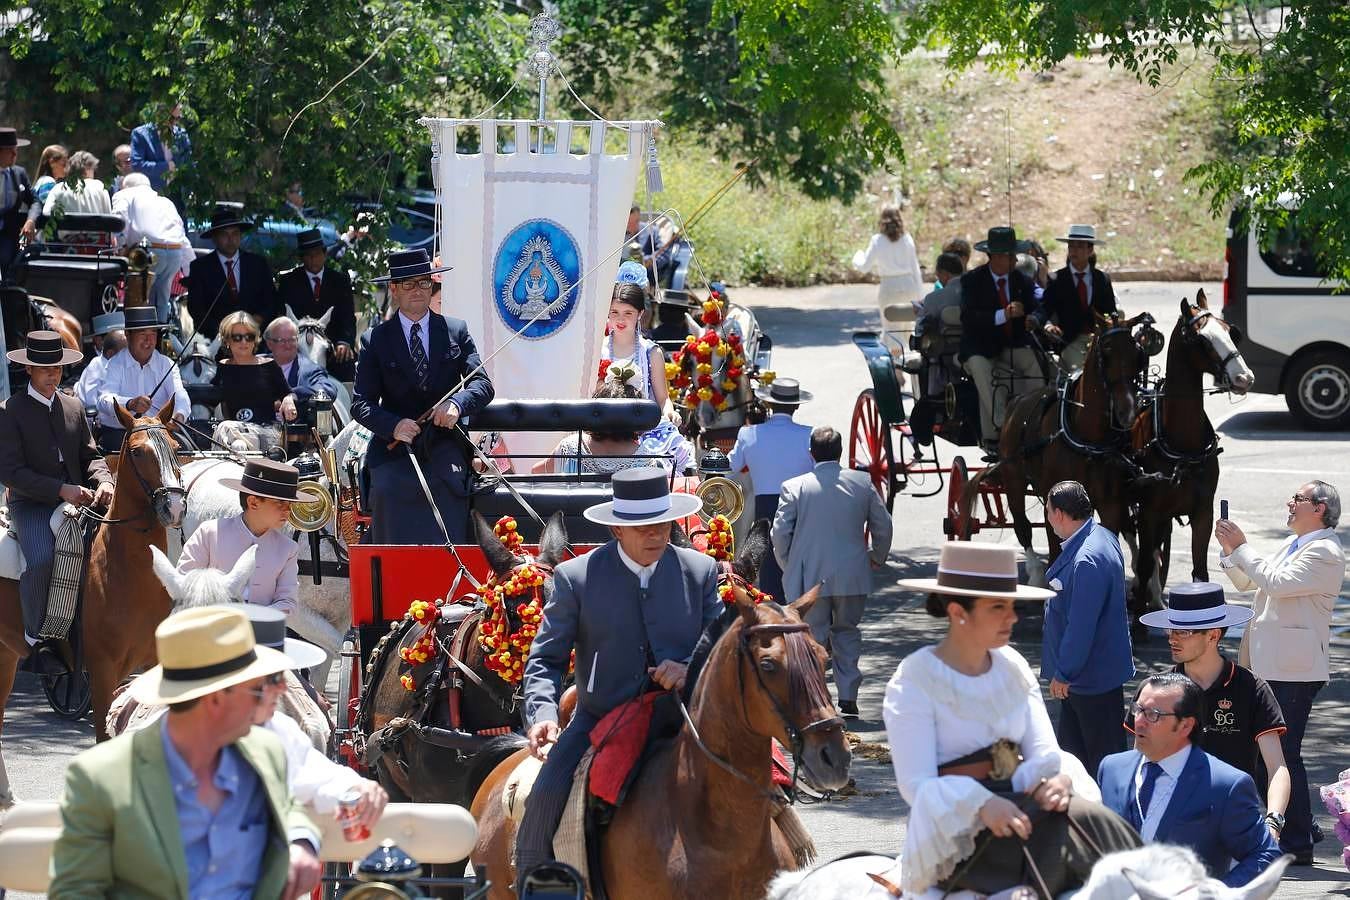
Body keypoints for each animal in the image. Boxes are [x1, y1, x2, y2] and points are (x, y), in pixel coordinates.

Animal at [0, 402, 186, 744]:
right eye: (138, 452)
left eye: (176, 448)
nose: (175, 507)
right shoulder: (102, 672)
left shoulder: (153, 665)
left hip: (5, 654)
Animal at [961, 317, 1150, 580]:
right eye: (1107, 350)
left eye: (1137, 352)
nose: (1129, 411)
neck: (1087, 439)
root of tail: (1016, 401)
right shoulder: (1054, 501)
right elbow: (1053, 552)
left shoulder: (1110, 503)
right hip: (1014, 478)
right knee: (1022, 525)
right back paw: (1034, 571)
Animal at [1123, 292, 1258, 623]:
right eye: (1201, 339)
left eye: (1231, 331)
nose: (1244, 377)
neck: (1181, 441)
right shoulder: (1150, 511)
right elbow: (1144, 564)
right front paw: (1139, 616)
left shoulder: (1203, 511)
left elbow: (1199, 571)